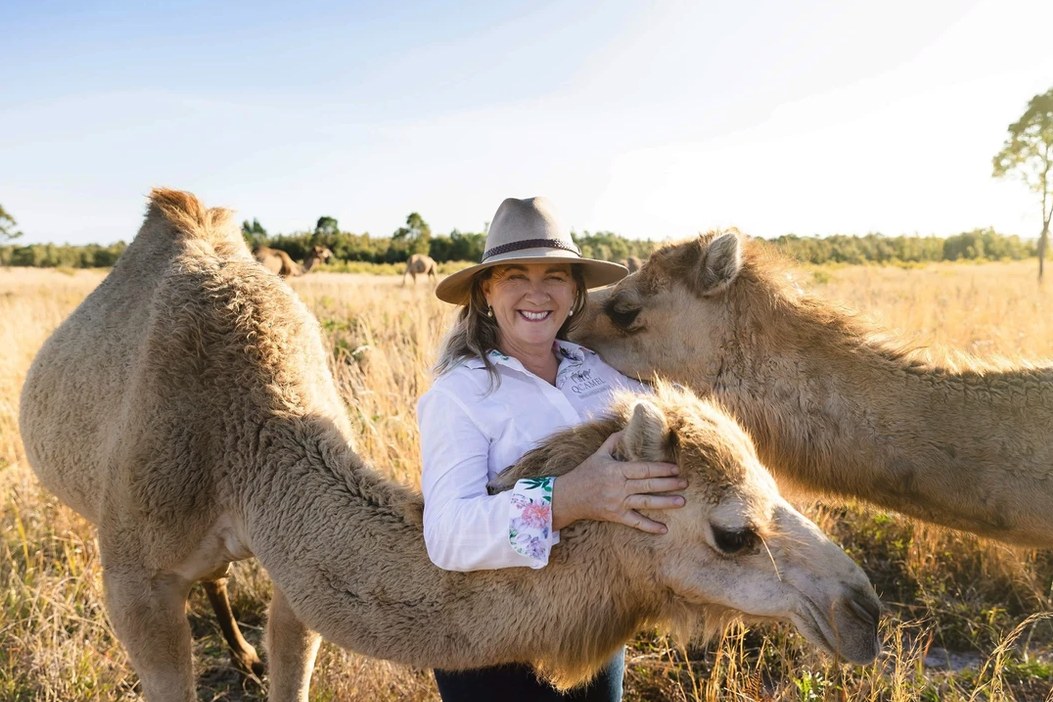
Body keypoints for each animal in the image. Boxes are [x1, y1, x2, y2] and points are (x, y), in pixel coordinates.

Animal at [18, 193, 880, 702]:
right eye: (733, 533)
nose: (862, 611)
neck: (244, 446)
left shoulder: (295, 578)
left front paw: (264, 665)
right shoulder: (133, 582)